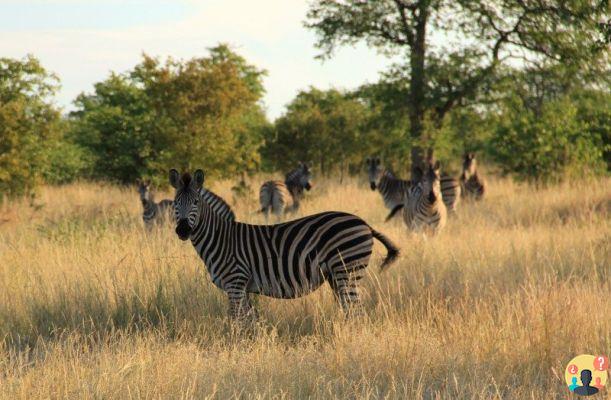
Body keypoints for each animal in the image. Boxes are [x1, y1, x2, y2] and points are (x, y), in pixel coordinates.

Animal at [172, 167, 402, 320]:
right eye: (175, 203)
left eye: (195, 202)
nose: (182, 230)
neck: (220, 239)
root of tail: (364, 223)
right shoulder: (244, 288)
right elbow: (250, 320)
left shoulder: (236, 282)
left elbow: (236, 320)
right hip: (338, 276)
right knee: (350, 310)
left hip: (348, 270)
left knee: (357, 311)